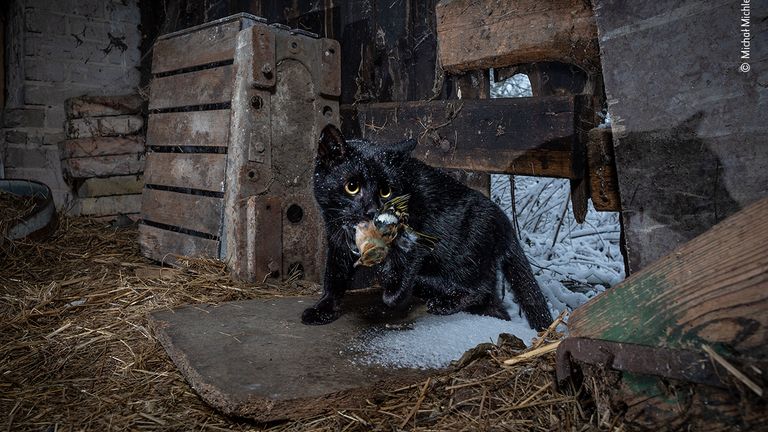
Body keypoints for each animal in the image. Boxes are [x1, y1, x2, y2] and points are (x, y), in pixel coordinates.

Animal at [302, 125, 552, 330]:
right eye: (351, 186)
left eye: (386, 191)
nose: (373, 211)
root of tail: (504, 222)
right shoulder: (336, 239)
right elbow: (334, 275)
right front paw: (323, 309)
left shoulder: (416, 231)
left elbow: (402, 267)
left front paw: (392, 293)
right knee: (493, 303)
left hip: (465, 259)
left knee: (477, 289)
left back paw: (442, 303)